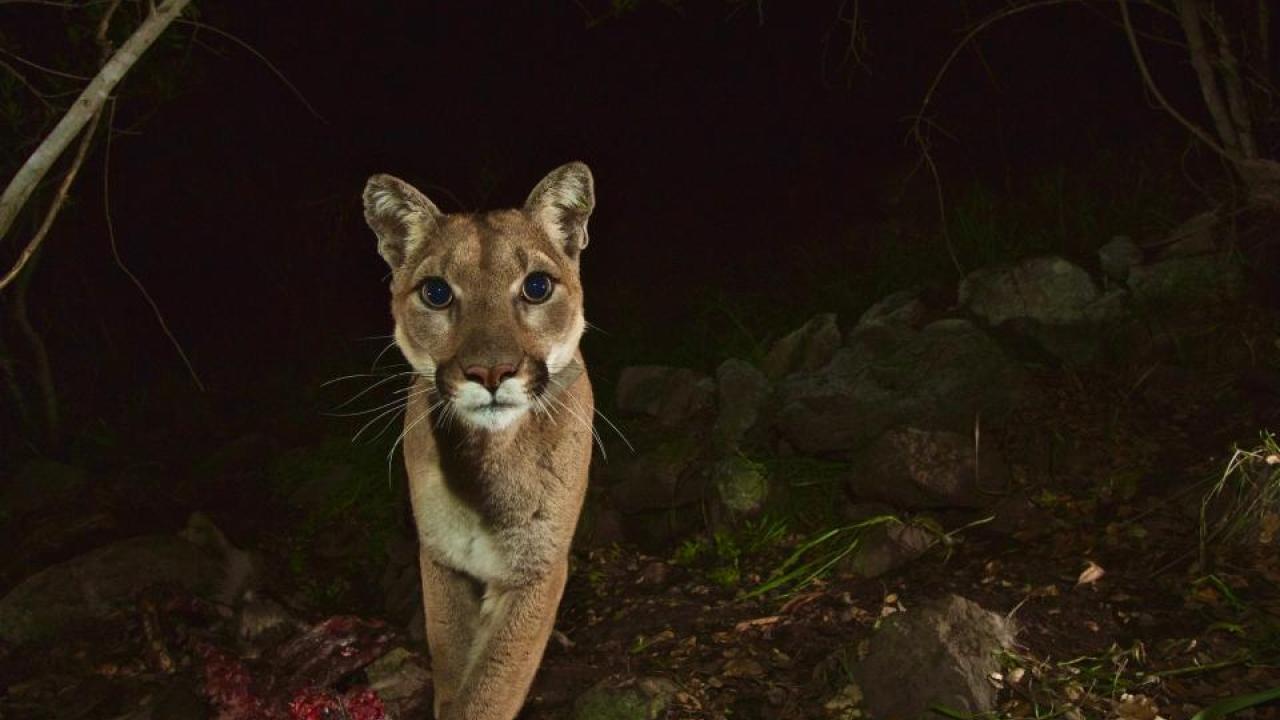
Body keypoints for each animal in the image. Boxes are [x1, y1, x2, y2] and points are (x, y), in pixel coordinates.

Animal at [363, 162, 596, 717]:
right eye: (436, 293)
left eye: (537, 286)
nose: (490, 372)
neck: (487, 461)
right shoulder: (442, 560)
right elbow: (456, 678)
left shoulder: (538, 568)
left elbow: (491, 689)